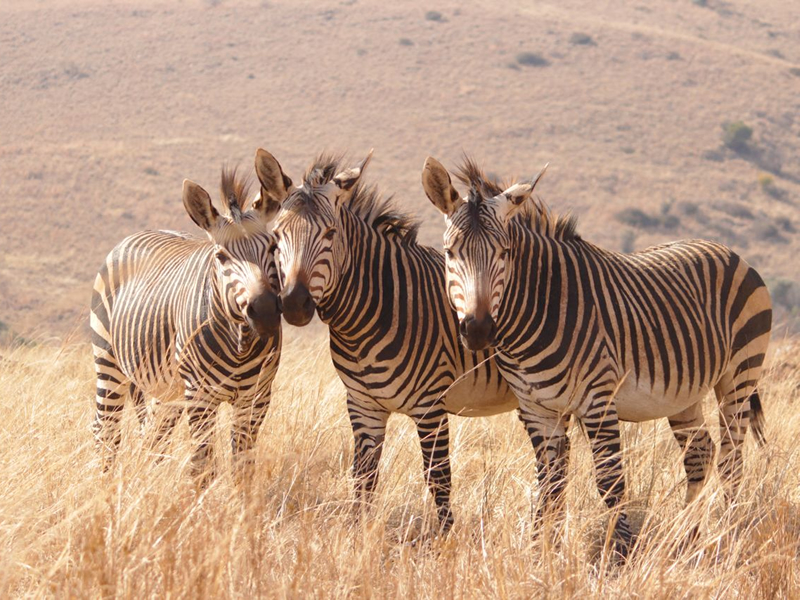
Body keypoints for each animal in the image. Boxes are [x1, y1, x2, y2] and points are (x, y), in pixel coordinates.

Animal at [90, 156, 284, 484]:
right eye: (221, 257)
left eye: (272, 247)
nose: (265, 311)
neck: (240, 344)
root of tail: (135, 235)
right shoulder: (199, 395)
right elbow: (203, 466)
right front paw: (202, 498)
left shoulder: (257, 397)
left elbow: (243, 465)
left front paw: (241, 499)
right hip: (108, 362)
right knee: (105, 431)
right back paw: (102, 485)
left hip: (166, 390)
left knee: (152, 436)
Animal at [253, 148, 518, 532]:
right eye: (276, 236)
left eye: (330, 233)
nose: (294, 304)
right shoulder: (363, 404)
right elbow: (363, 477)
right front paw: (357, 534)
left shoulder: (430, 406)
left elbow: (439, 479)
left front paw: (447, 539)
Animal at [422, 156, 771, 557]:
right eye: (450, 253)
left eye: (505, 253)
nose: (478, 330)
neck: (540, 310)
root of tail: (729, 251)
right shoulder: (537, 408)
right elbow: (550, 484)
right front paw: (542, 553)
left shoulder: (598, 400)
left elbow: (609, 482)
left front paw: (620, 553)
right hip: (686, 392)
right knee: (700, 452)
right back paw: (687, 537)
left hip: (739, 375)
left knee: (733, 460)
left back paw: (729, 535)